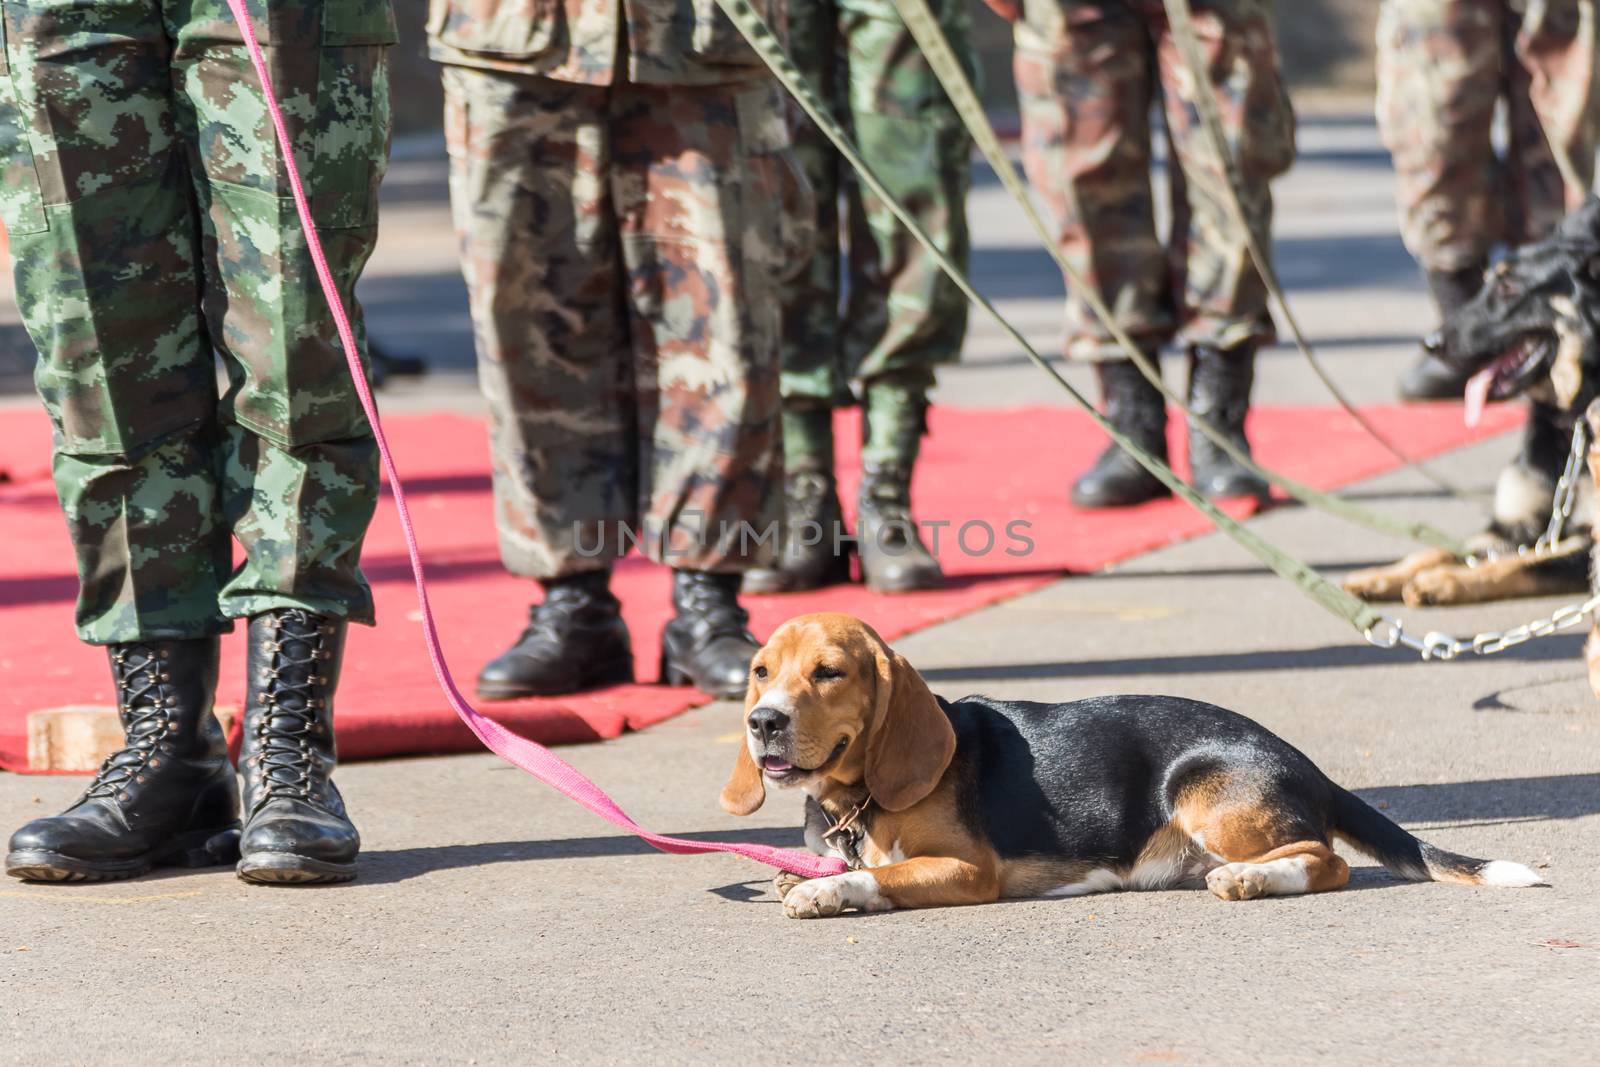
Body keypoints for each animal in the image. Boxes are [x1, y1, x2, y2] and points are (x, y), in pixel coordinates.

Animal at [726, 614, 1548, 921]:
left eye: (829, 673)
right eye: (762, 671)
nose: (763, 722)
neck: (855, 798)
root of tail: (1303, 761)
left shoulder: (965, 870)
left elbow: (882, 874)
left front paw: (830, 892)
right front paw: (811, 878)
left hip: (1199, 786)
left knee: (1328, 860)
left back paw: (1250, 880)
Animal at [1337, 195, 1600, 604]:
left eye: (1509, 288)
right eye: (1488, 281)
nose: (1431, 343)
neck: (1573, 419)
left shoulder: (1584, 542)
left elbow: (1519, 564)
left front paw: (1443, 581)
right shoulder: (1511, 528)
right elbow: (1438, 549)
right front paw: (1381, 574)